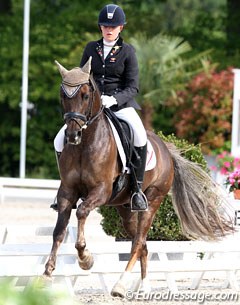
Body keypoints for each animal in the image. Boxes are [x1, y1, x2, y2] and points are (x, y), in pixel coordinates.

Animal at [43, 58, 232, 296]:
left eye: (85, 95)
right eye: (63, 96)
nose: (72, 135)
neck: (85, 143)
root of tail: (167, 151)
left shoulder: (101, 191)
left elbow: (82, 212)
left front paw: (85, 259)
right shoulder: (67, 191)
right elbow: (58, 232)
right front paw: (46, 275)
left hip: (152, 201)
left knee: (138, 241)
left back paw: (120, 285)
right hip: (125, 209)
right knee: (141, 243)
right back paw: (144, 286)